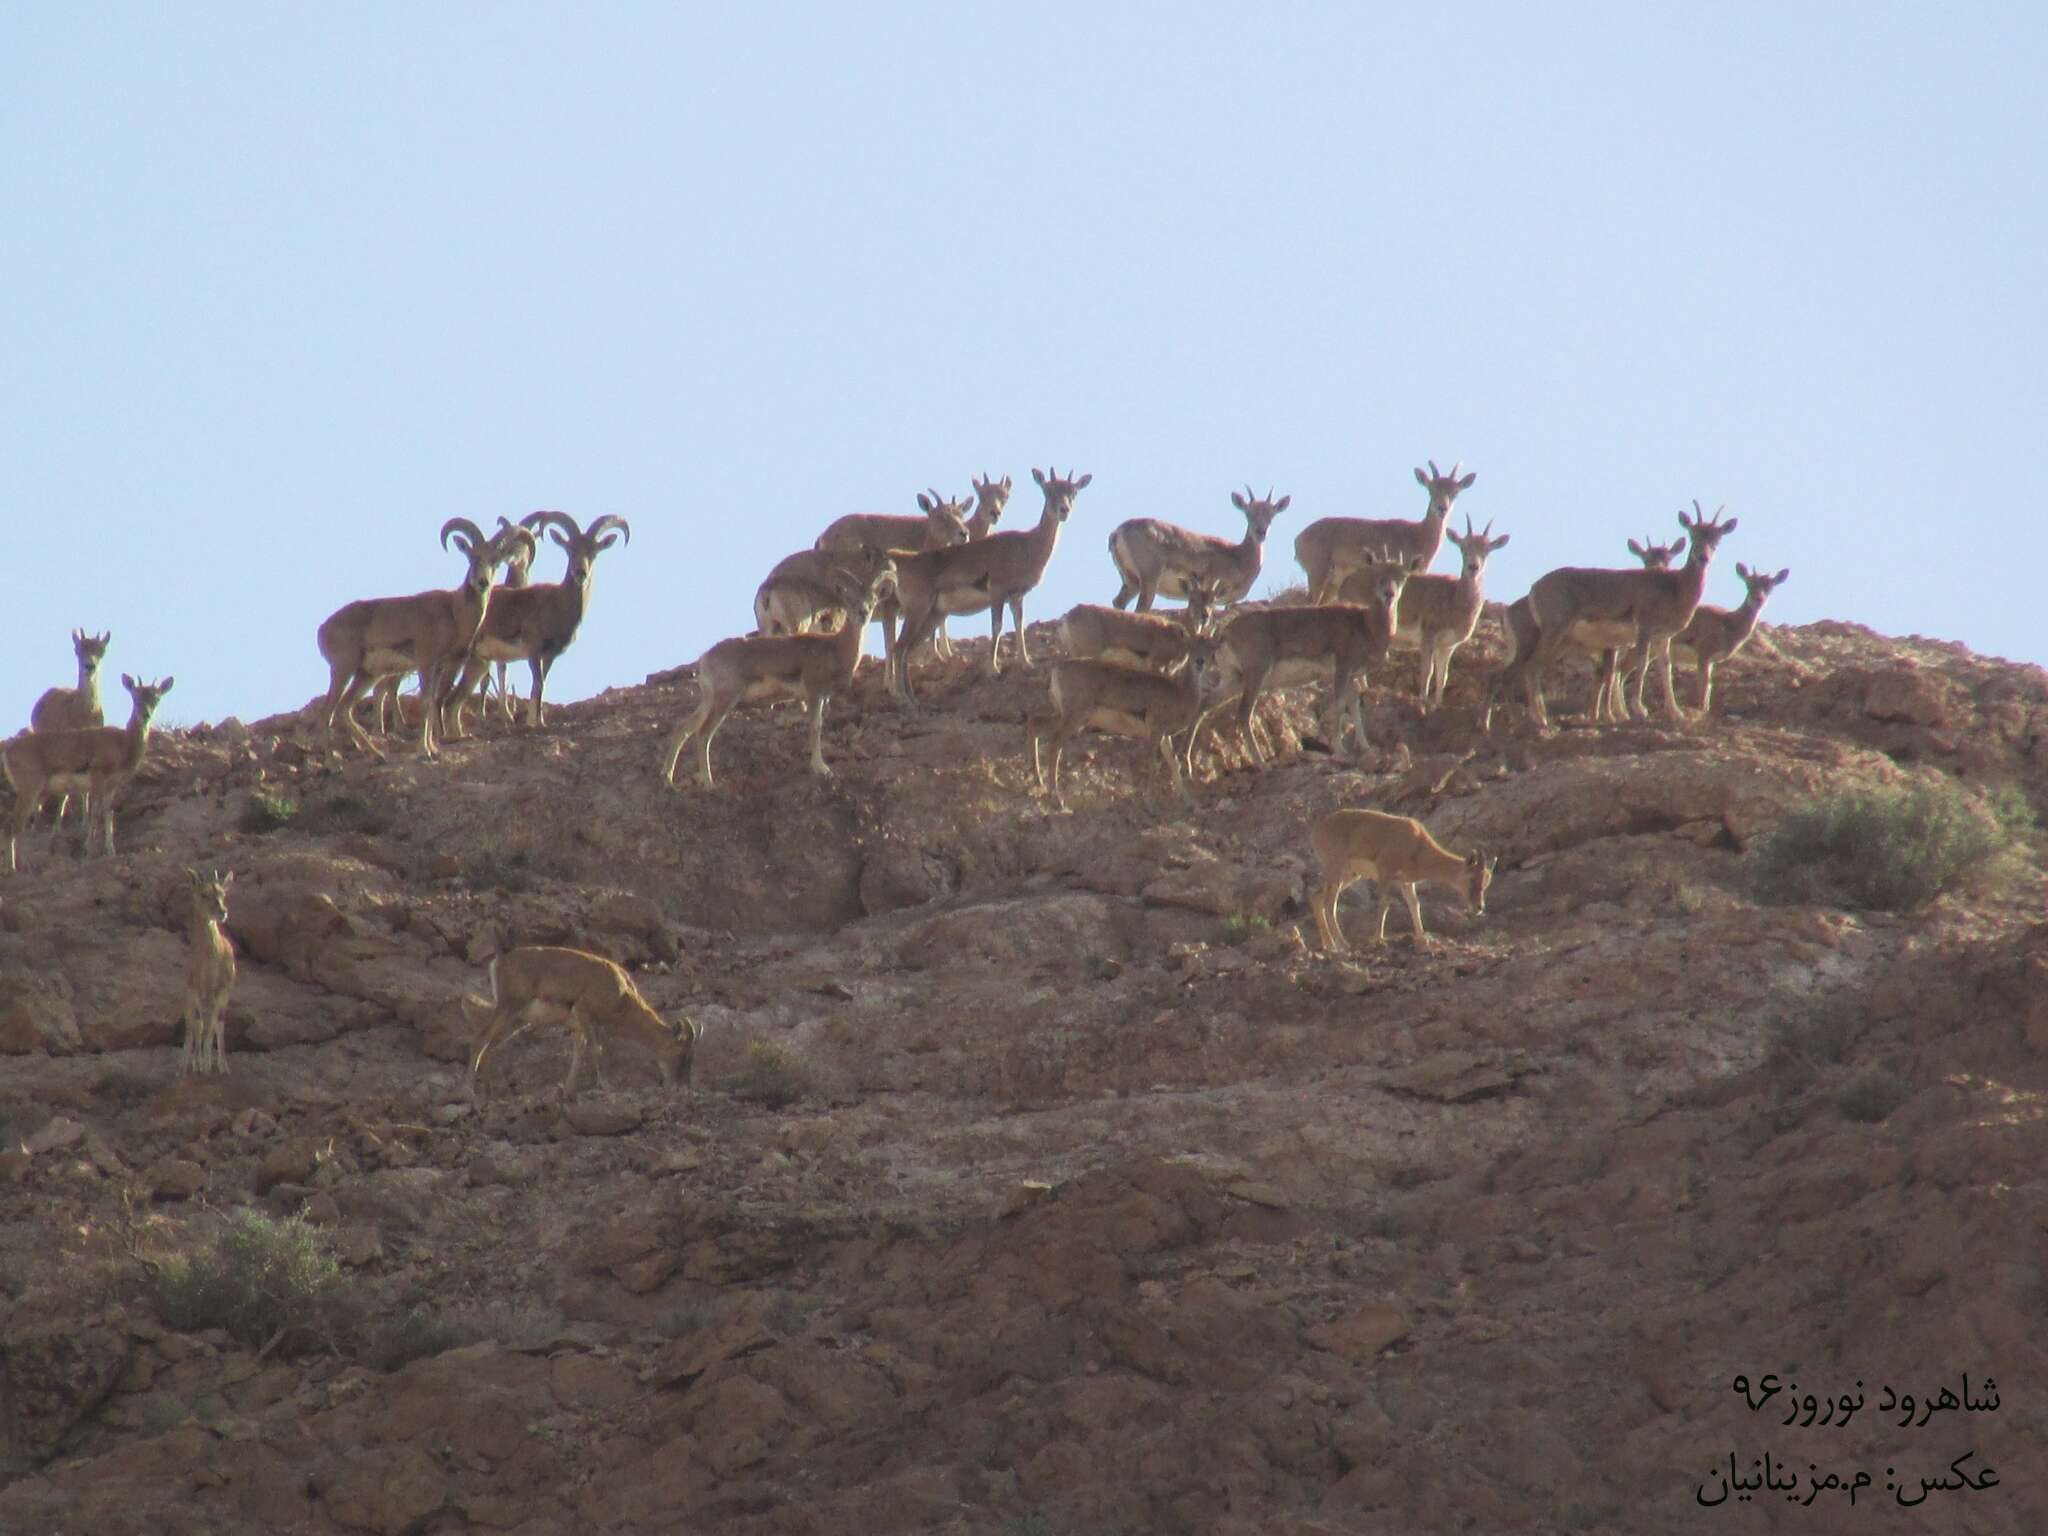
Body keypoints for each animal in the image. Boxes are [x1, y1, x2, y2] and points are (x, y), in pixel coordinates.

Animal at [468, 946, 708, 1097]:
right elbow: (596, 1050)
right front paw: (606, 1086)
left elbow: (579, 1054)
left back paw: (488, 1092)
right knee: (480, 1040)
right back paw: (469, 1092)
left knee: (490, 1047)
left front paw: (568, 1090)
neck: (621, 993)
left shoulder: (579, 1026)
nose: (682, 1088)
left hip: (516, 1021)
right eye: (681, 1053)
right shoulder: (585, 1015)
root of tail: (499, 963)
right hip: (508, 1009)